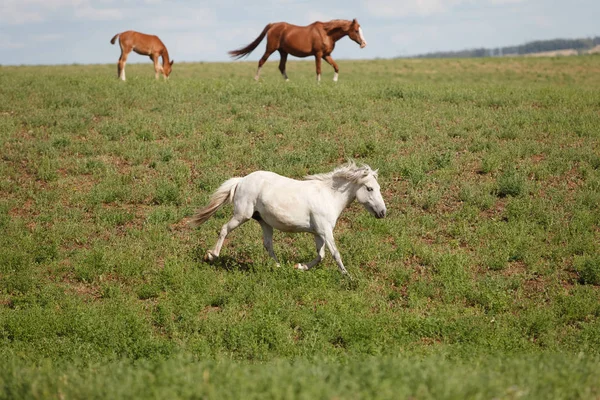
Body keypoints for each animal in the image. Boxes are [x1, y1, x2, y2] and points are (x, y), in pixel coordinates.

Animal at [190, 161, 386, 276]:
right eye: (369, 188)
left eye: (378, 187)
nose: (383, 212)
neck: (328, 196)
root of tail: (241, 180)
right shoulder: (325, 231)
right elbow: (335, 254)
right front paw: (348, 277)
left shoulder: (318, 233)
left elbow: (321, 255)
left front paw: (299, 267)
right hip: (241, 215)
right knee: (224, 229)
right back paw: (211, 255)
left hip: (264, 222)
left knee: (268, 245)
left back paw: (279, 267)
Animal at [229, 18, 366, 82]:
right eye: (356, 30)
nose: (364, 44)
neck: (327, 33)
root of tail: (273, 25)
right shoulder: (318, 54)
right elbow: (318, 69)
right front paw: (318, 84)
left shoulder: (326, 55)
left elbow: (336, 66)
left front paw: (334, 80)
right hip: (270, 49)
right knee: (261, 61)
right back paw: (256, 79)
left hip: (283, 52)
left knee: (281, 67)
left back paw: (288, 82)